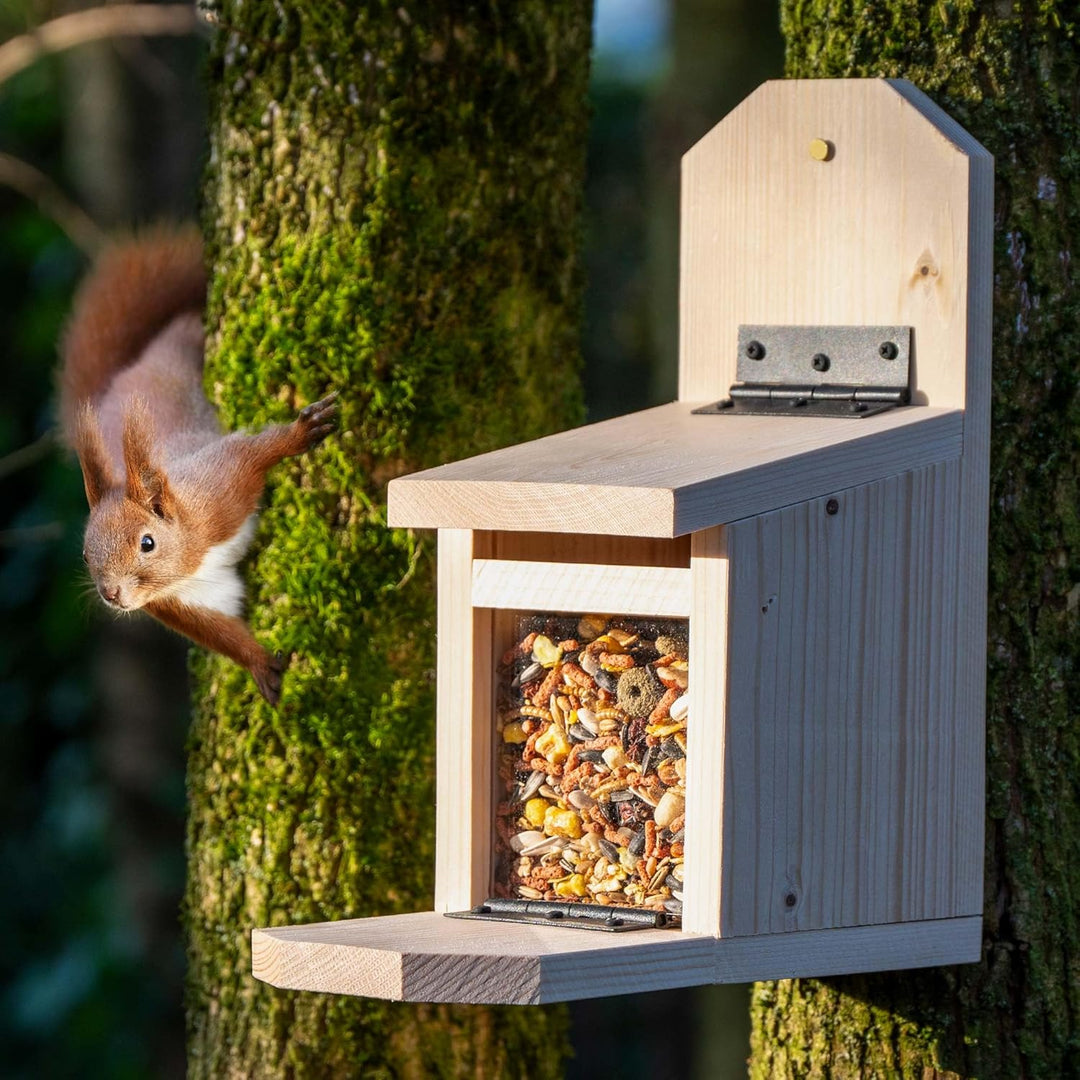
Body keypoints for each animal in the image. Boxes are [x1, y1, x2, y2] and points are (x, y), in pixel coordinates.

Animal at [58, 228, 337, 705]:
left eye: (147, 543)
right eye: (84, 553)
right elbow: (220, 630)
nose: (111, 594)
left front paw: (301, 433)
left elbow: (253, 450)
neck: (190, 553)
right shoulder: (182, 600)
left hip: (180, 347)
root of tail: (126, 370)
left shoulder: (218, 488)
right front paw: (260, 664)